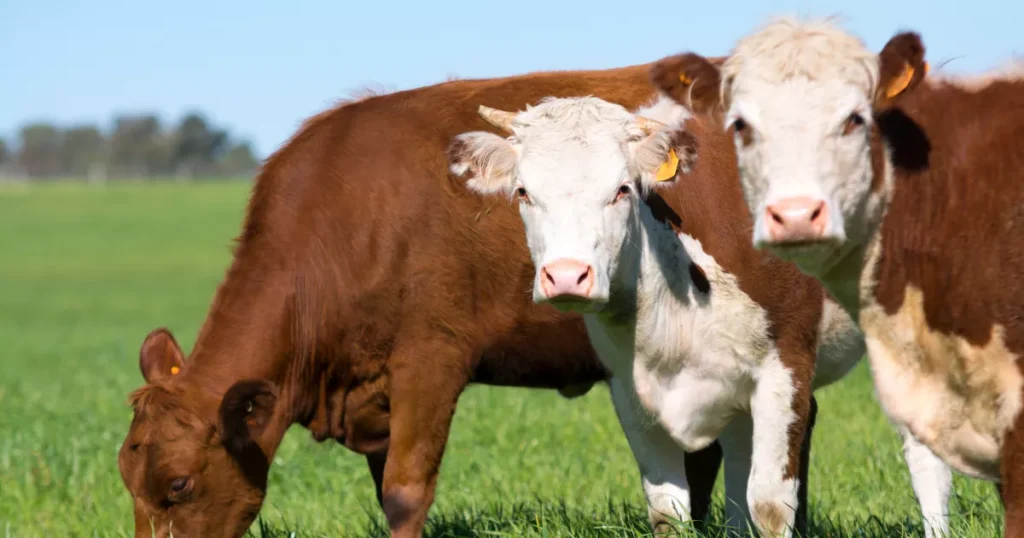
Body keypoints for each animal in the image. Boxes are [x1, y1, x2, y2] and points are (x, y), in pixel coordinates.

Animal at [448, 95, 950, 536]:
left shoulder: (783, 368)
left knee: (925, 454)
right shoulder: (631, 391)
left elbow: (770, 505)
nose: (567, 276)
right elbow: (668, 511)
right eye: (523, 192)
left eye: (622, 190)